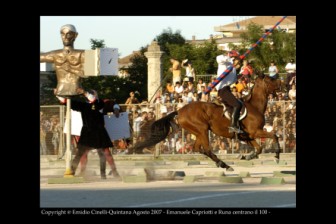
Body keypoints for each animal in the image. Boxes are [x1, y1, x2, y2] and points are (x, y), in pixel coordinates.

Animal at [130, 74, 282, 171]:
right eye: (271, 79)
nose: (283, 84)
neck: (254, 106)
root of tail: (180, 111)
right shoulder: (255, 132)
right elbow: (274, 135)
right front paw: (276, 155)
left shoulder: (248, 136)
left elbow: (259, 148)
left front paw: (247, 156)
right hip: (202, 129)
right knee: (207, 149)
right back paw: (224, 165)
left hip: (198, 132)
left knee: (197, 148)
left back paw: (222, 164)